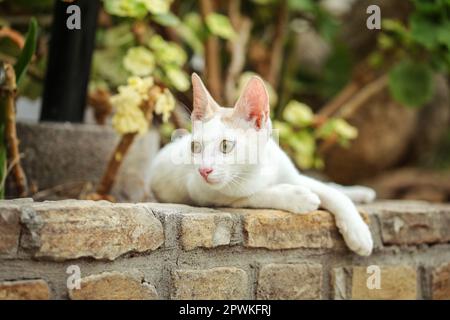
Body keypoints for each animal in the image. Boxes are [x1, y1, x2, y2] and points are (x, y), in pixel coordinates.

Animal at [149, 74, 374, 256]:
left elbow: (333, 194)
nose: (204, 170)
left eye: (225, 145)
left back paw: (359, 192)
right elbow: (253, 195)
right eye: (195, 147)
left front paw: (358, 231)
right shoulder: (201, 191)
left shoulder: (290, 174)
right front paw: (297, 197)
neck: (257, 169)